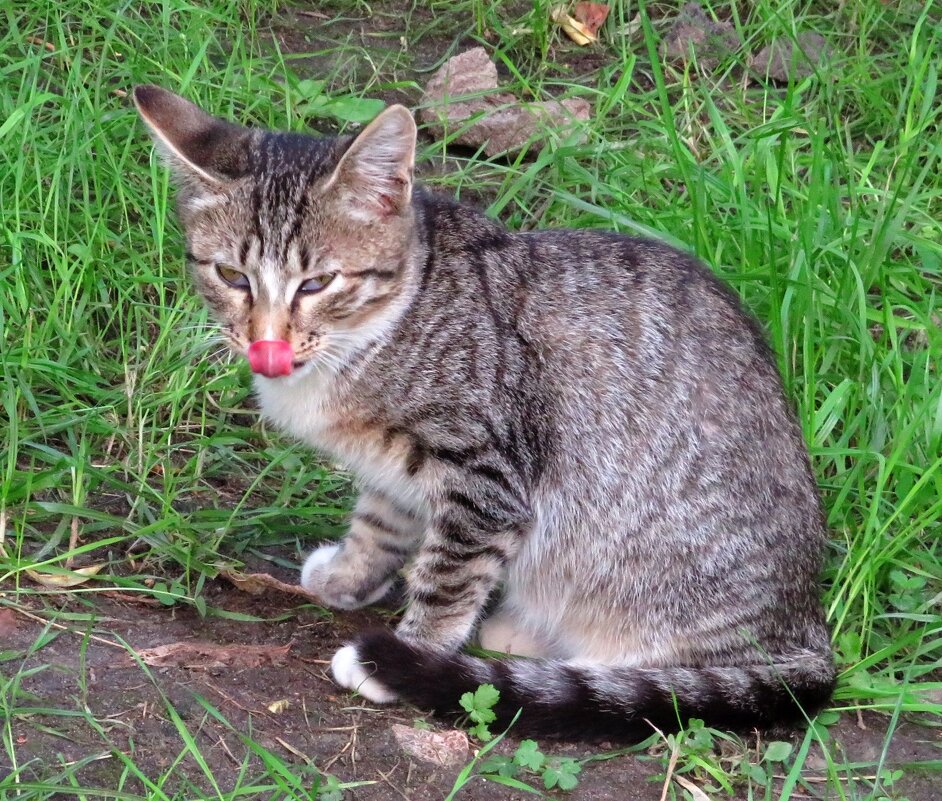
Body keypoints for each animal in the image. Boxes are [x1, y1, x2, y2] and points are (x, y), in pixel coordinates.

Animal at [135, 84, 832, 740]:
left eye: (316, 284)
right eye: (232, 276)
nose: (266, 344)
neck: (389, 323)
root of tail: (807, 630)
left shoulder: (486, 475)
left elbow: (448, 574)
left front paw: (407, 656)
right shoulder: (393, 467)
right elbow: (379, 523)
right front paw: (350, 577)